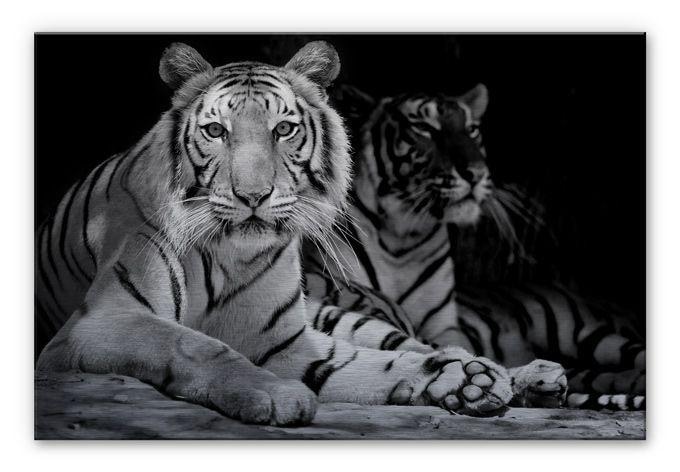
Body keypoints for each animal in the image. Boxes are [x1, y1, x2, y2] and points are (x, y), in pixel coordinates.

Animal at [35, 41, 519, 427]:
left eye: (284, 129)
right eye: (216, 131)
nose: (253, 195)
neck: (230, 254)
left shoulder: (286, 341)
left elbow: (363, 362)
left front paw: (464, 379)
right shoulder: (104, 321)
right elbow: (193, 343)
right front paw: (277, 394)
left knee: (406, 341)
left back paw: (497, 371)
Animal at [302, 84, 645, 411]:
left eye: (472, 129)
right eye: (424, 128)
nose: (476, 174)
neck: (403, 238)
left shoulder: (440, 327)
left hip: (587, 333)